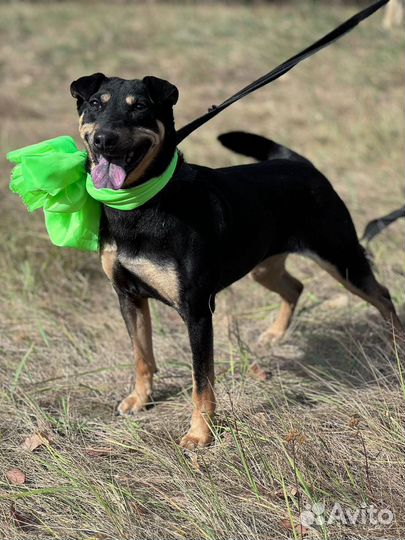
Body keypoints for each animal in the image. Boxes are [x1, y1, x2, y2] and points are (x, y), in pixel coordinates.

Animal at [69, 74, 400, 450]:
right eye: (95, 104)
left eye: (139, 106)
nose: (104, 138)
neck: (140, 204)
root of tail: (297, 161)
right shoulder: (128, 296)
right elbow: (142, 356)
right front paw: (140, 399)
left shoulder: (196, 310)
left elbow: (202, 381)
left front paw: (200, 434)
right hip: (264, 264)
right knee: (295, 286)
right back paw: (275, 334)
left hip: (340, 257)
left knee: (381, 295)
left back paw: (397, 346)